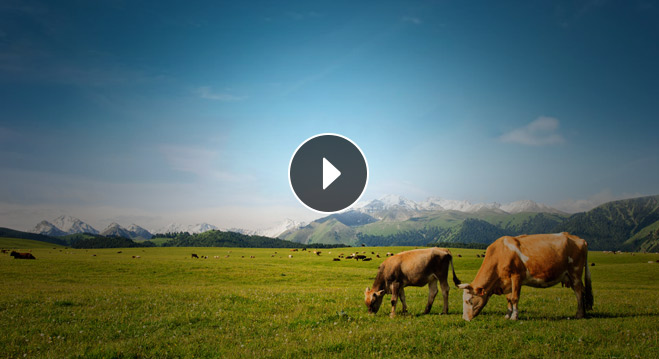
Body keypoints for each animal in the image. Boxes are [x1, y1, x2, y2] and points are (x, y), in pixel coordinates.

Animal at [458, 233, 592, 324]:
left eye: (469, 301)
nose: (465, 318)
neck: (500, 254)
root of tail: (580, 240)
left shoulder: (516, 276)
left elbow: (515, 298)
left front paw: (514, 317)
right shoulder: (507, 281)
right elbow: (509, 298)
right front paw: (507, 315)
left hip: (575, 272)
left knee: (579, 292)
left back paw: (579, 314)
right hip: (571, 276)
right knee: (581, 291)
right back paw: (583, 313)